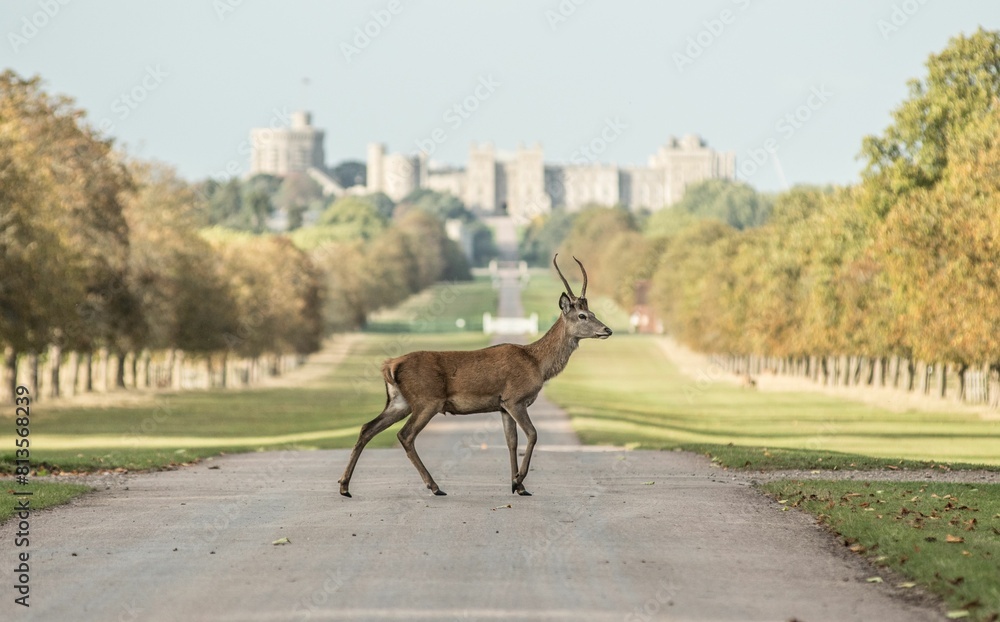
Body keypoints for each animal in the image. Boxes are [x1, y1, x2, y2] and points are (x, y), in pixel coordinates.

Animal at [338, 254, 612, 498]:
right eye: (582, 315)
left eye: (593, 313)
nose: (607, 329)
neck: (538, 364)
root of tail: (390, 365)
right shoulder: (515, 398)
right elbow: (533, 434)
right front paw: (519, 480)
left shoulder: (503, 406)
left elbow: (511, 442)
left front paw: (518, 486)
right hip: (427, 400)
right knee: (405, 435)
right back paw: (434, 486)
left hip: (399, 401)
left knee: (367, 428)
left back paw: (344, 486)